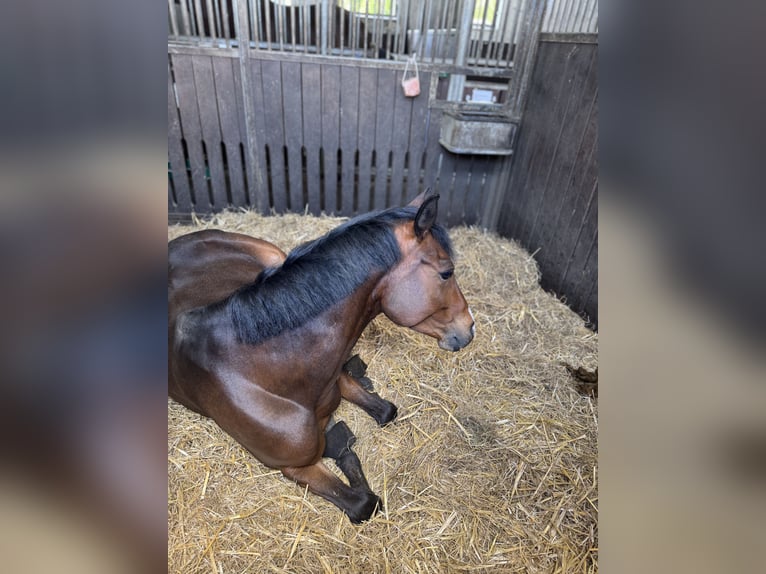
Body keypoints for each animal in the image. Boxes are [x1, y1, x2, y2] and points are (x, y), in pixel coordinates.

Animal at [168, 190, 475, 523]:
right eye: (446, 273)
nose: (469, 328)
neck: (259, 370)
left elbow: (382, 409)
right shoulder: (295, 467)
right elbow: (364, 503)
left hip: (274, 256)